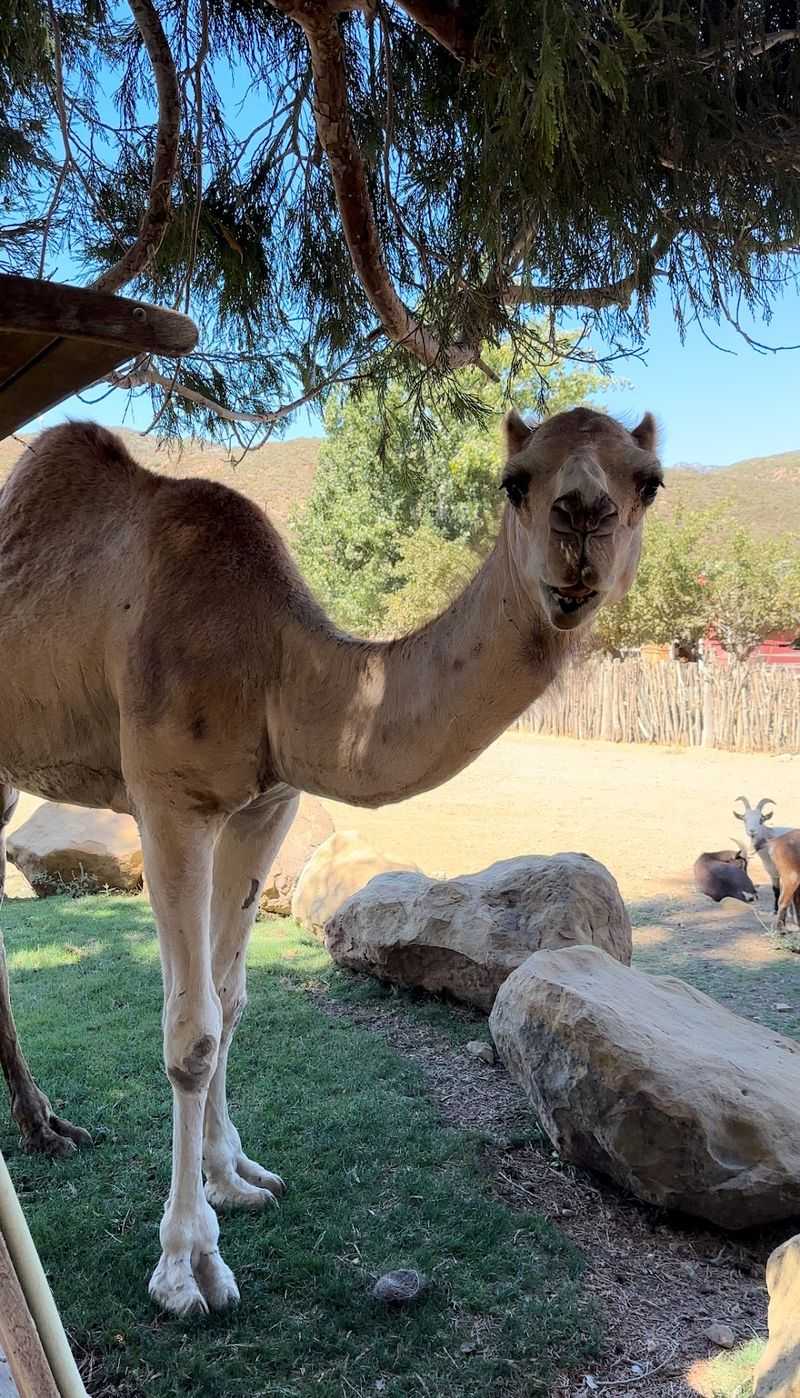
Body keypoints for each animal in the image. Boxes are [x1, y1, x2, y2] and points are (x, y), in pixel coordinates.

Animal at [0, 405, 662, 1315]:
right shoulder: (169, 800)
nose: (583, 521)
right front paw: (188, 1266)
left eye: (649, 482)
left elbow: (231, 1000)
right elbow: (190, 1032)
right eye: (515, 479)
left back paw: (46, 1127)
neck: (275, 662)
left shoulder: (266, 803)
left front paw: (235, 1179)